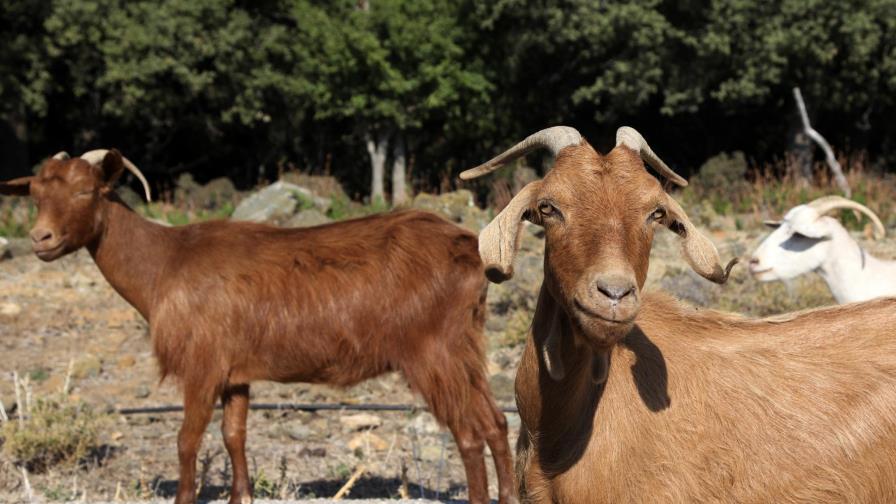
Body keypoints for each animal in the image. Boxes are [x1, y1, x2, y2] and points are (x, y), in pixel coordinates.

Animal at [0, 150, 516, 504]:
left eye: (86, 192)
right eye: (36, 196)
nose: (41, 239)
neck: (164, 264)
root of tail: (470, 248)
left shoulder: (202, 365)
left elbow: (187, 440)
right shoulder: (237, 375)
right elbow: (234, 436)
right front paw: (240, 495)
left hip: (433, 352)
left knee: (469, 434)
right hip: (464, 348)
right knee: (495, 422)